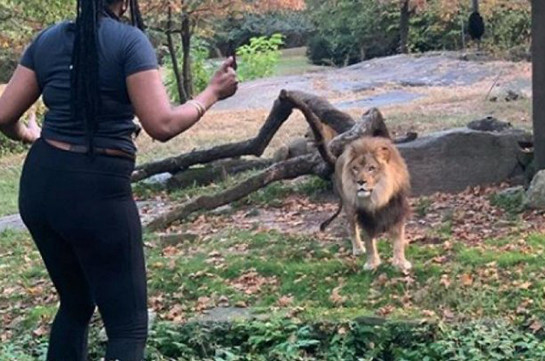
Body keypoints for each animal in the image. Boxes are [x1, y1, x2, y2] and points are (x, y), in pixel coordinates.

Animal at [320, 136, 410, 270]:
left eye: (371, 168)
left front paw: (401, 263)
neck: (378, 197)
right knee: (351, 228)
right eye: (355, 168)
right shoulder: (364, 217)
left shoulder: (397, 211)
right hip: (349, 207)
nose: (360, 182)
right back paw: (358, 248)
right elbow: (369, 242)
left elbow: (399, 240)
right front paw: (372, 263)